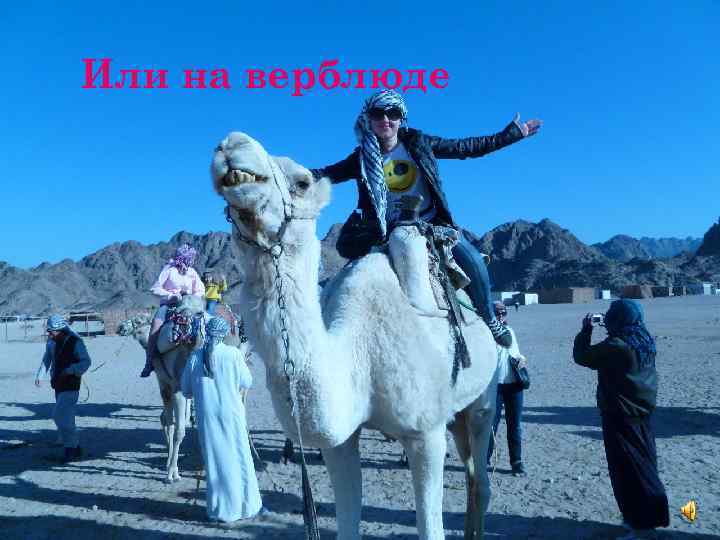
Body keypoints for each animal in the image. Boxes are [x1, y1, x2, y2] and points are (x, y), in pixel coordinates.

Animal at [210, 132, 500, 540]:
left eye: (302, 182)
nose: (231, 145)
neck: (359, 354)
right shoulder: (340, 443)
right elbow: (348, 520)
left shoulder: (425, 433)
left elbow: (430, 528)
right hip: (457, 412)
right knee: (474, 475)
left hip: (485, 399)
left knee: (482, 481)